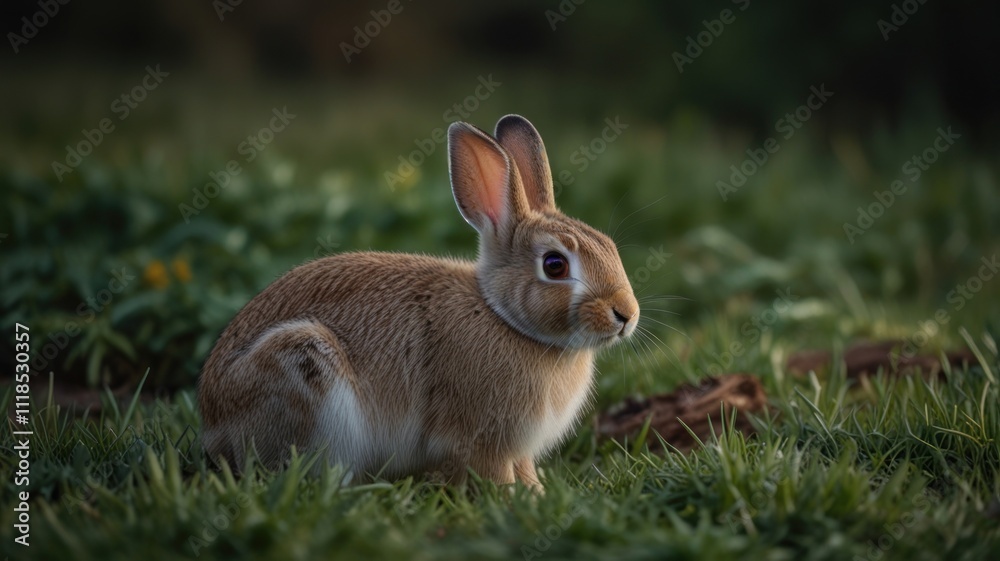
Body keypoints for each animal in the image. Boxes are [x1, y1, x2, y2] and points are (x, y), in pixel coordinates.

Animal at [198, 114, 639, 490]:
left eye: (609, 246)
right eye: (554, 265)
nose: (626, 315)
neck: (504, 317)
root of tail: (213, 425)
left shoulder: (516, 448)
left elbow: (525, 470)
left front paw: (536, 494)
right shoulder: (479, 438)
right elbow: (494, 475)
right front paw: (514, 501)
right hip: (302, 366)